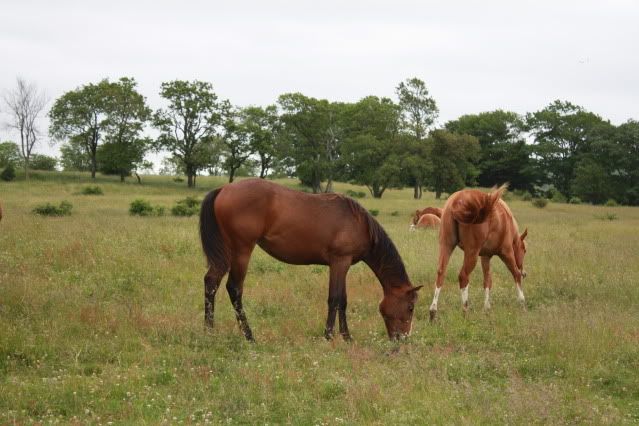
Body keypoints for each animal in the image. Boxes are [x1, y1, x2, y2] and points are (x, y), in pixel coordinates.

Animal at [198, 178, 422, 342]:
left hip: (226, 254)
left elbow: (343, 300)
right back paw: (249, 336)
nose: (402, 338)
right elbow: (335, 299)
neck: (359, 223)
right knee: (234, 289)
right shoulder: (340, 262)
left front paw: (346, 337)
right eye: (410, 307)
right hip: (241, 252)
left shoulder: (343, 265)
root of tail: (224, 189)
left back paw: (209, 331)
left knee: (211, 282)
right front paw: (329, 336)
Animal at [430, 185, 528, 322]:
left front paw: (486, 308)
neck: (506, 220)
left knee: (441, 273)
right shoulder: (507, 253)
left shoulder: (485, 257)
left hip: (446, 245)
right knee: (463, 276)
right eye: (524, 250)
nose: (525, 273)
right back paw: (465, 310)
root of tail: (457, 201)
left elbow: (487, 281)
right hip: (472, 253)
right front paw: (522, 304)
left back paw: (433, 311)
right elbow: (515, 274)